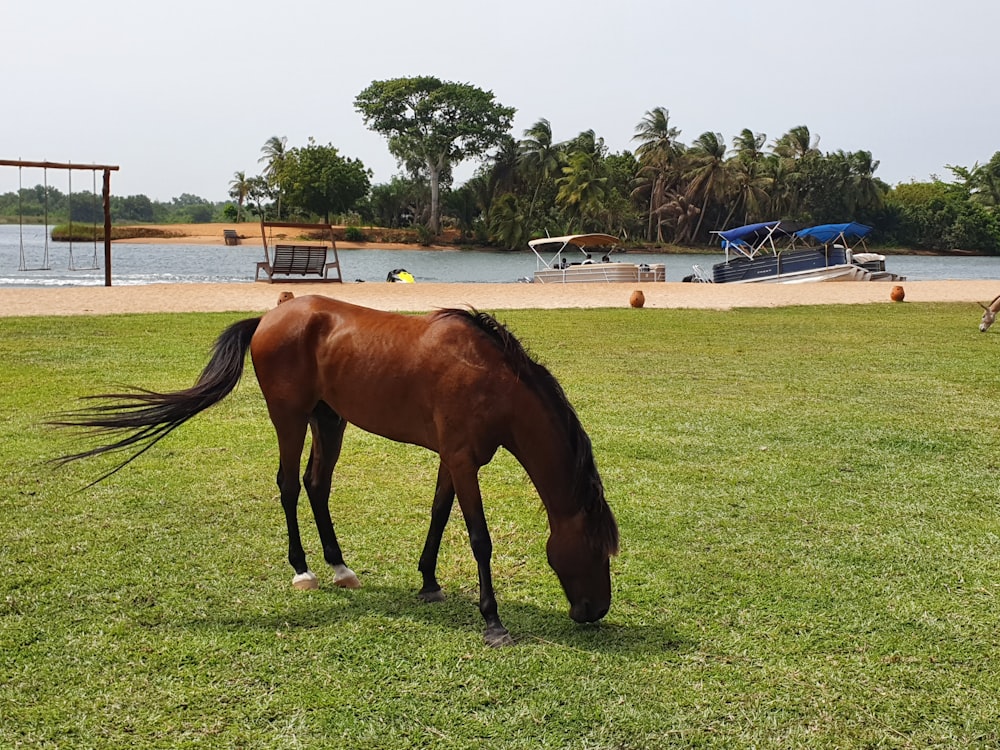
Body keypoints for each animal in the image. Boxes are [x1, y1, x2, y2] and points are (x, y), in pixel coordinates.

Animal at [54, 296, 620, 648]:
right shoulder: (462, 460)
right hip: (289, 418)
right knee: (288, 486)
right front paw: (493, 621)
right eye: (596, 549)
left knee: (316, 485)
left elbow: (438, 517)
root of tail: (268, 317)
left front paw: (429, 581)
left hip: (329, 420)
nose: (595, 610)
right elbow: (480, 539)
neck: (492, 379)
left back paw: (339, 566)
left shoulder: (452, 459)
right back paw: (303, 569)